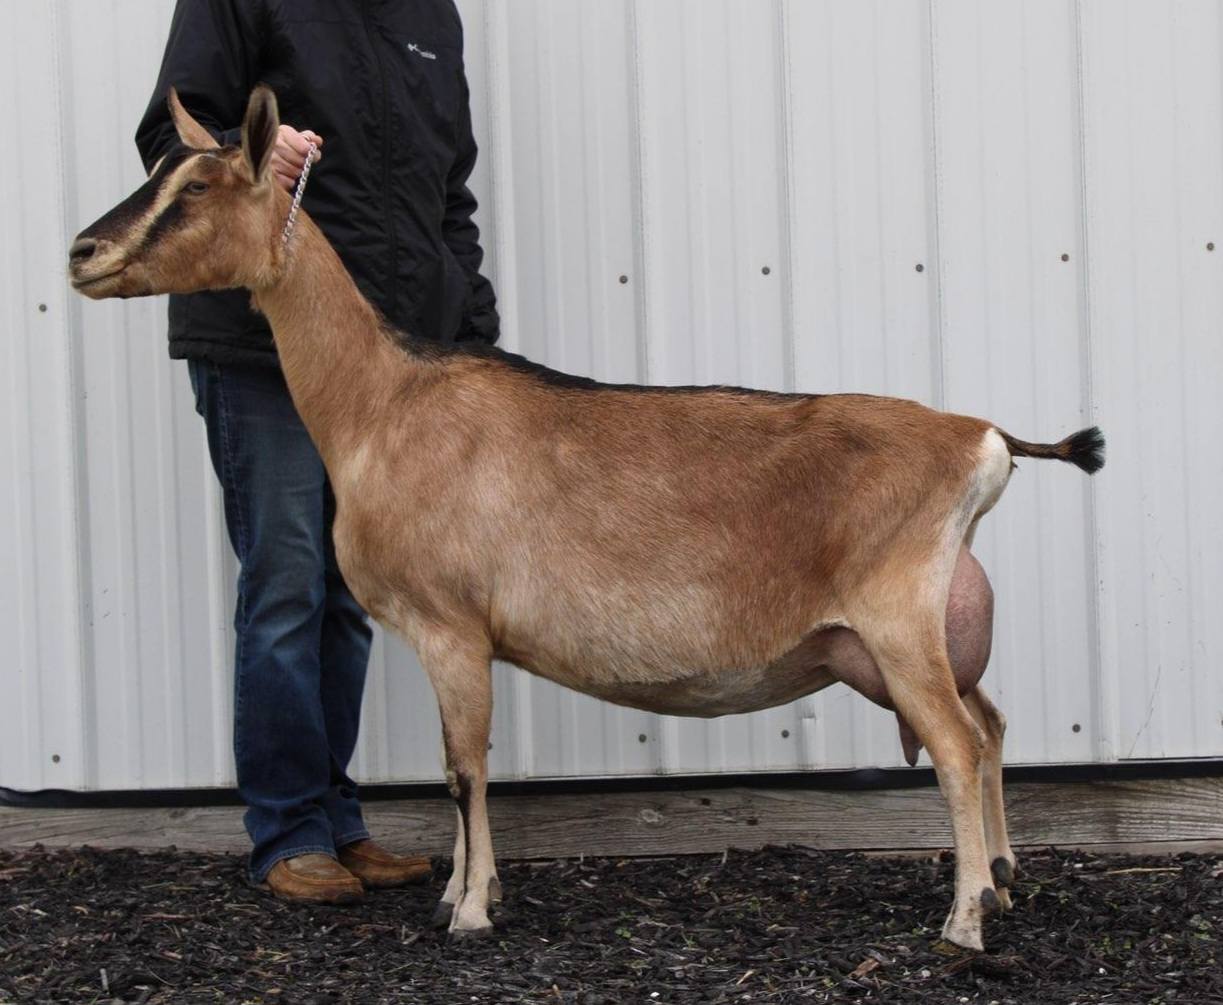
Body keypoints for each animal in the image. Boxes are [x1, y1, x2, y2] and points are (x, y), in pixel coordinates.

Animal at [69, 86, 1104, 951]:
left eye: (198, 184)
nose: (81, 254)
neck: (380, 405)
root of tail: (982, 438)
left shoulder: (451, 627)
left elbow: (464, 768)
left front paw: (469, 911)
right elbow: (460, 766)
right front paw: (457, 894)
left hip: (895, 621)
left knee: (957, 745)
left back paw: (964, 920)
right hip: (910, 636)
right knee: (991, 723)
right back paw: (1002, 878)